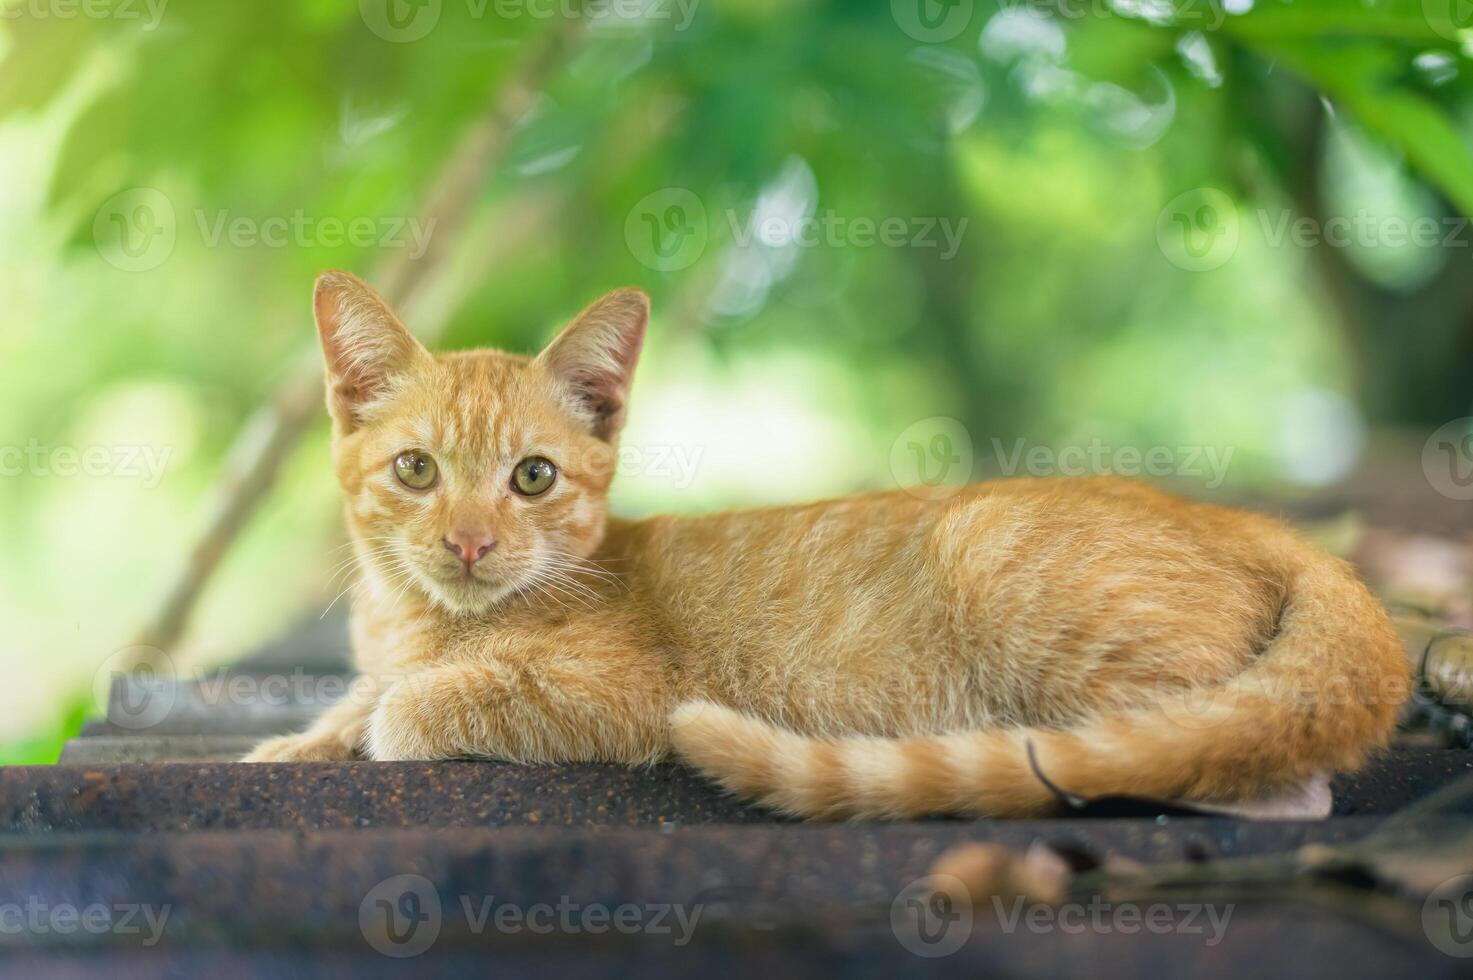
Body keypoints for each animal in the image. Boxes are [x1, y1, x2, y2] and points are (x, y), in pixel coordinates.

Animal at [247, 269, 1408, 819]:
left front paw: (381, 718)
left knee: (1240, 758)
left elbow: (413, 705)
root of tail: (1256, 521)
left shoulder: (623, 692)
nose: (471, 544)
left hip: (1016, 576)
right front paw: (297, 741)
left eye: (531, 477)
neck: (418, 618)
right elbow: (355, 699)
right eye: (417, 471)